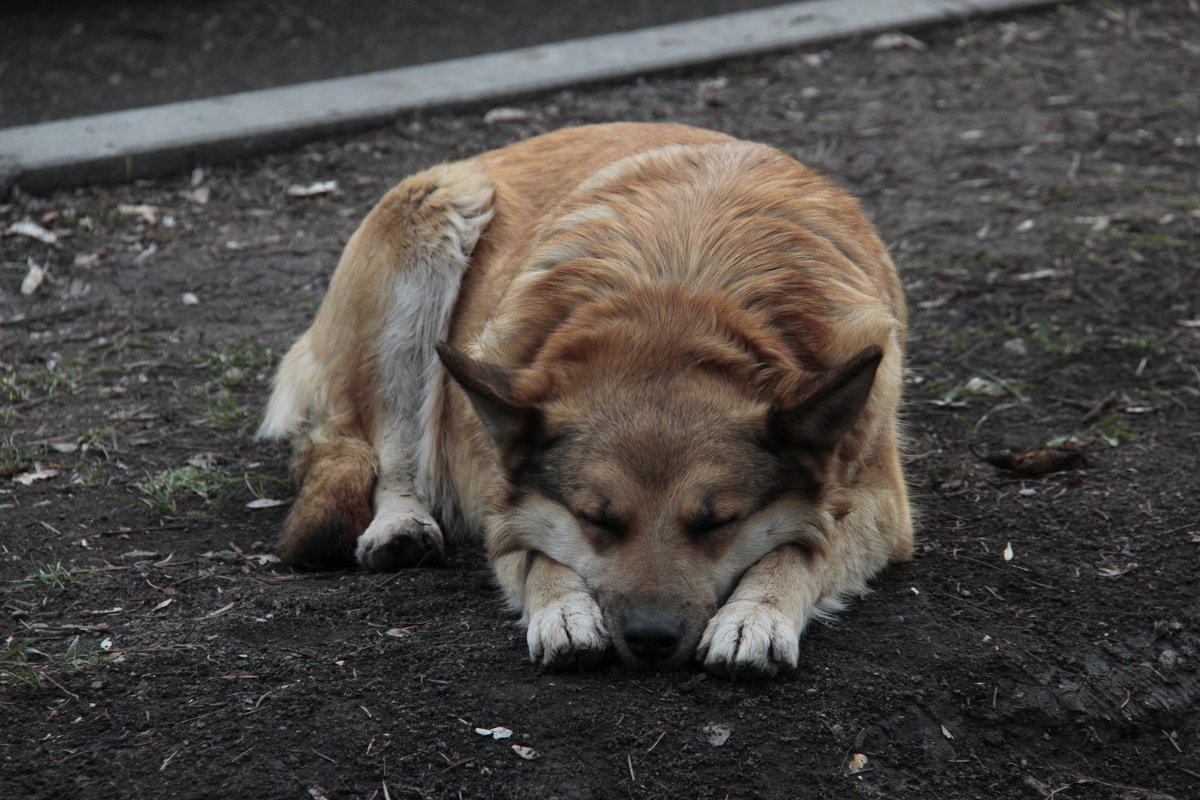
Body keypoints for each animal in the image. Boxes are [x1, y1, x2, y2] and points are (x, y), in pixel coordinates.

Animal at [262, 123, 912, 676]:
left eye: (717, 523)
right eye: (598, 519)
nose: (651, 639)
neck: (677, 305)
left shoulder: (880, 501)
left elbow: (806, 544)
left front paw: (757, 612)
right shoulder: (503, 487)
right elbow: (533, 547)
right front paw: (563, 610)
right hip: (429, 235)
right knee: (393, 448)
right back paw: (401, 524)